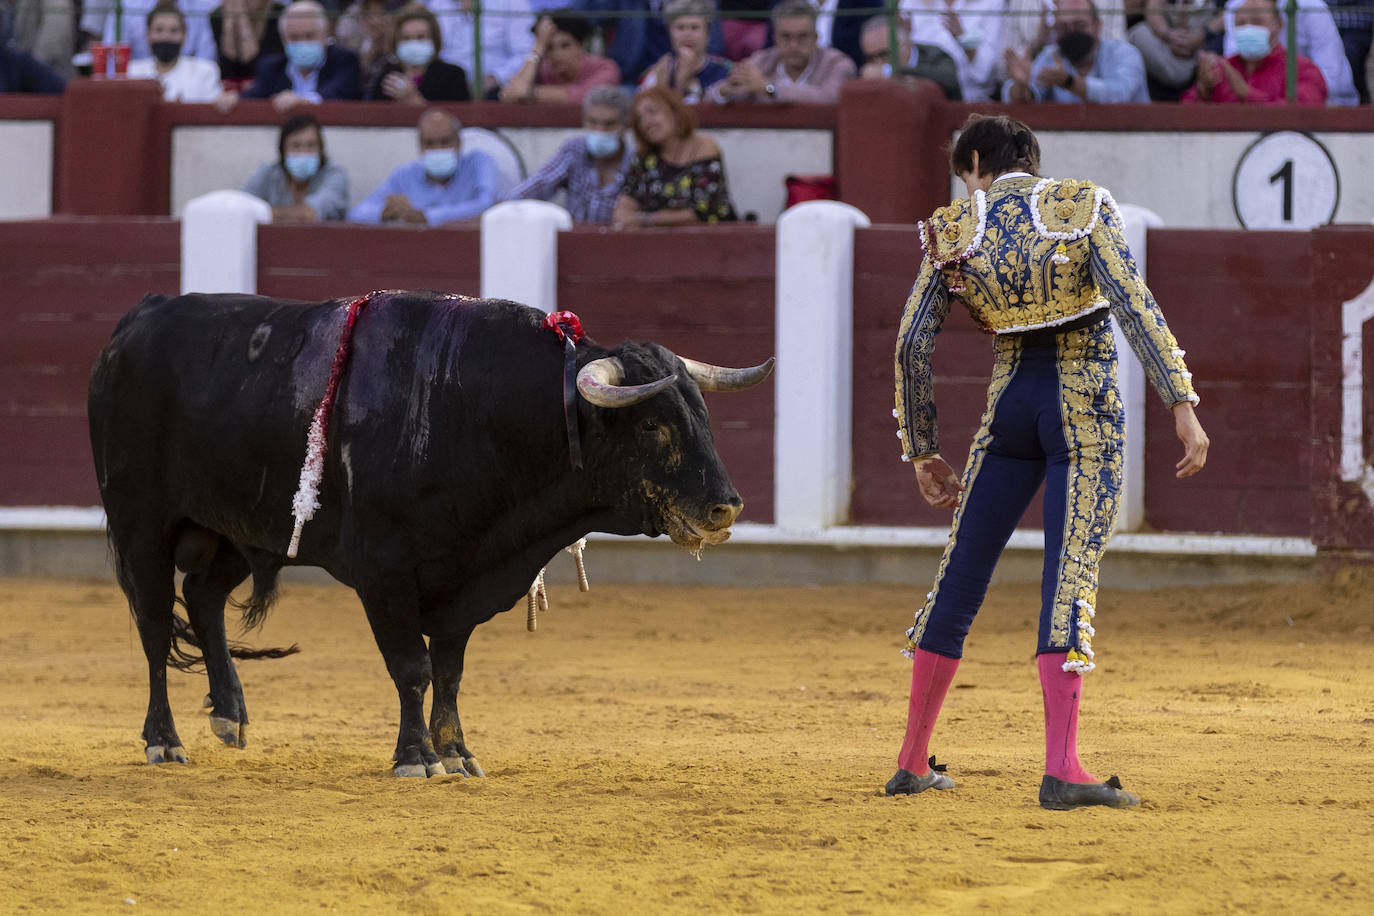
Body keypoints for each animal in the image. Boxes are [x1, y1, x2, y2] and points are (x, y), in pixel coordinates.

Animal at [85, 289, 774, 780]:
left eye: (701, 414)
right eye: (653, 425)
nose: (726, 508)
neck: (475, 410)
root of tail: (136, 321)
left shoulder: (461, 576)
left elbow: (450, 669)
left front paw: (459, 753)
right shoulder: (385, 574)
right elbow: (412, 667)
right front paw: (416, 757)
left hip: (236, 527)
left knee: (202, 597)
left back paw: (230, 716)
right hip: (142, 522)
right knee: (154, 625)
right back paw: (163, 741)